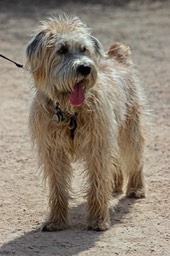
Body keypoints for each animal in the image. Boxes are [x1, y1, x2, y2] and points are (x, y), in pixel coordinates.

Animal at [25, 14, 147, 232]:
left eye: (84, 49)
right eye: (62, 50)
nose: (85, 68)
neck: (68, 111)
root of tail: (117, 58)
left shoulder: (97, 146)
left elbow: (97, 183)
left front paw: (98, 220)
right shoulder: (53, 151)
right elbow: (58, 187)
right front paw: (56, 220)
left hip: (129, 128)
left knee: (134, 156)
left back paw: (136, 187)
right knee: (115, 160)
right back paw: (115, 184)